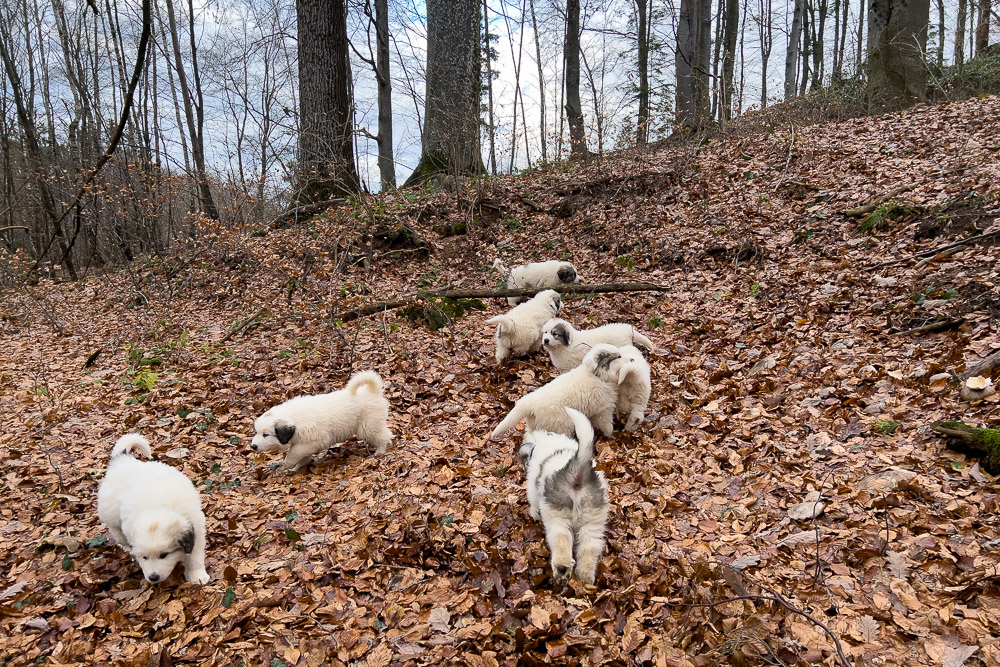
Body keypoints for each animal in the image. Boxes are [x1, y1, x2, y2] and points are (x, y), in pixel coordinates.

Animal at [97, 434, 211, 584]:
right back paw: (125, 546)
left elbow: (194, 557)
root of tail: (122, 461)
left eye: (164, 555)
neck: (158, 509)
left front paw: (197, 577)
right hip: (111, 513)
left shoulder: (196, 530)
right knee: (117, 531)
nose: (153, 577)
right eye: (144, 557)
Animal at [516, 408, 608, 584]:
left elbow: (534, 505)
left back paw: (562, 571)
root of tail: (577, 472)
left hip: (557, 516)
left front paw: (534, 516)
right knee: (589, 549)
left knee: (561, 541)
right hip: (593, 521)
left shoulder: (533, 492)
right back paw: (585, 578)